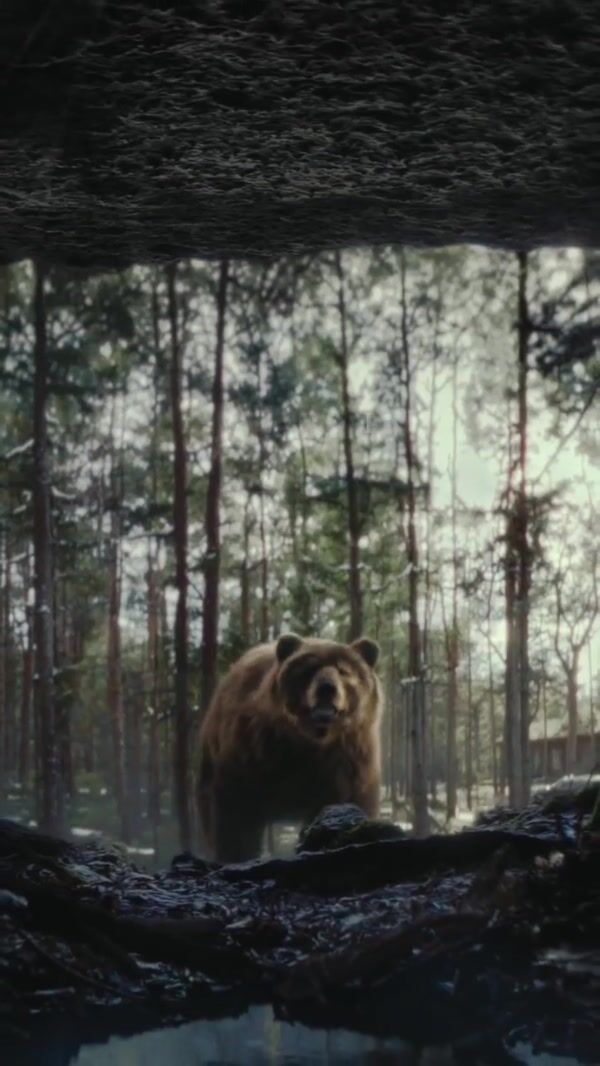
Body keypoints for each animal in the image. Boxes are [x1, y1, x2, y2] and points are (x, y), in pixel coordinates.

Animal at [197, 633, 382, 863]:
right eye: (310, 668)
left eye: (344, 670)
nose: (327, 688)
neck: (310, 741)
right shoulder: (253, 752)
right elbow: (237, 814)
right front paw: (237, 854)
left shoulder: (346, 764)